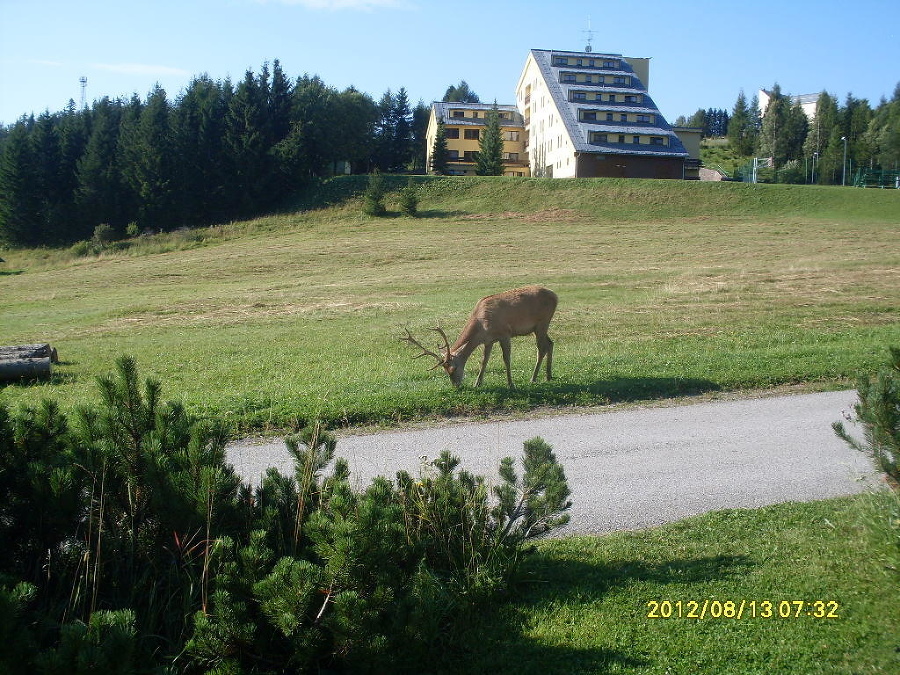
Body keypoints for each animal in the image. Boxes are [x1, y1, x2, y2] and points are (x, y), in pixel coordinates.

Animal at [400, 286, 556, 390]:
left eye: (453, 368)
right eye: (445, 370)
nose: (456, 386)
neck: (482, 325)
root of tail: (555, 295)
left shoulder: (505, 333)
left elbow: (506, 359)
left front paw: (510, 384)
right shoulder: (488, 341)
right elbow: (483, 361)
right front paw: (477, 383)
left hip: (542, 322)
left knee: (541, 348)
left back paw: (533, 378)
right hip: (538, 327)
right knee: (550, 343)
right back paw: (548, 376)